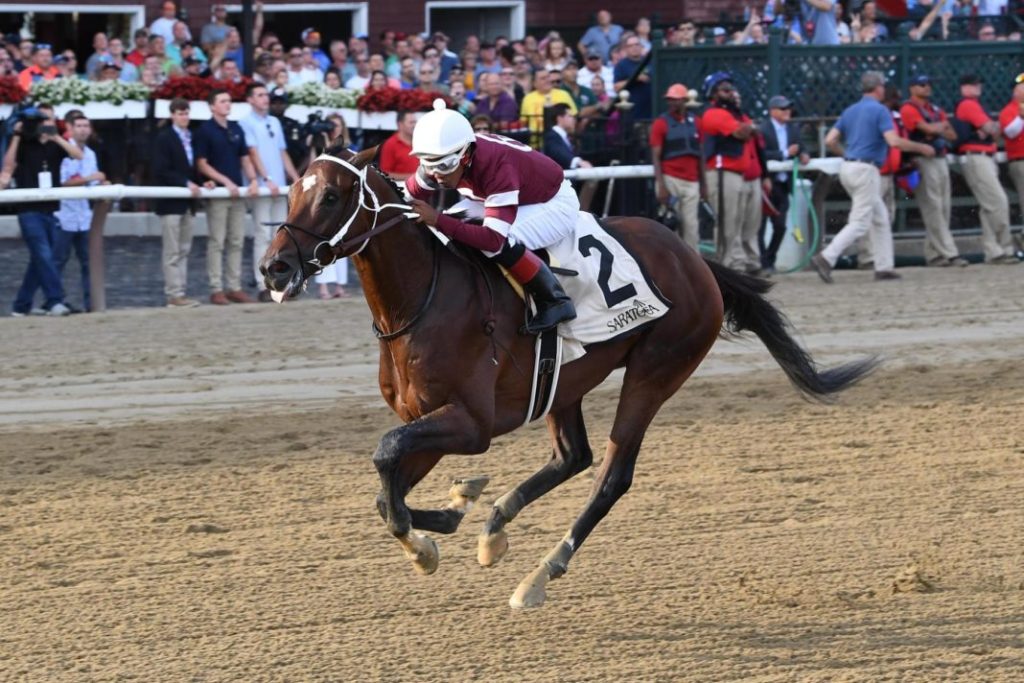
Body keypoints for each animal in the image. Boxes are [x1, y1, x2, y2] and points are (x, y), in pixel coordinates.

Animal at [260, 144, 876, 610]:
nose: (274, 267)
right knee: (573, 456)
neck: (422, 299)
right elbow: (386, 492)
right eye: (290, 192)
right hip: (565, 382)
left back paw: (540, 574)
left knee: (611, 476)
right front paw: (457, 507)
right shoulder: (427, 419)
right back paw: (494, 528)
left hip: (657, 370)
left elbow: (387, 459)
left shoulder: (472, 424)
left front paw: (426, 545)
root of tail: (695, 258)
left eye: (331, 195)